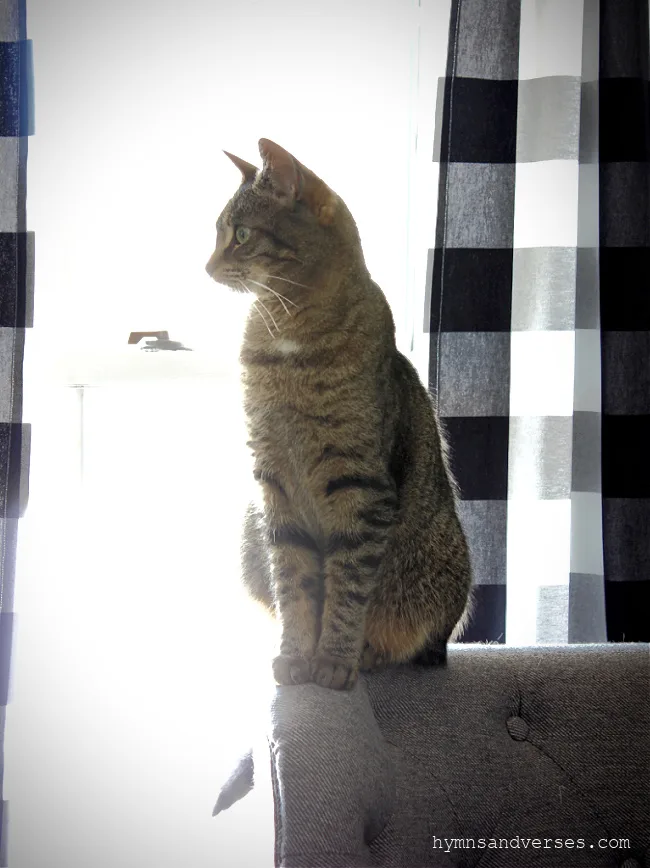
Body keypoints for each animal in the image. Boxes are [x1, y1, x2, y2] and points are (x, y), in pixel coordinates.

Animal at [206, 137, 470, 692]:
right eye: (219, 233)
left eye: (241, 234)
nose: (207, 266)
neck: (286, 328)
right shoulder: (274, 483)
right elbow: (294, 582)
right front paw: (295, 657)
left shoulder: (358, 484)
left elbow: (347, 586)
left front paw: (333, 660)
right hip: (249, 528)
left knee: (409, 639)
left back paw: (370, 654)